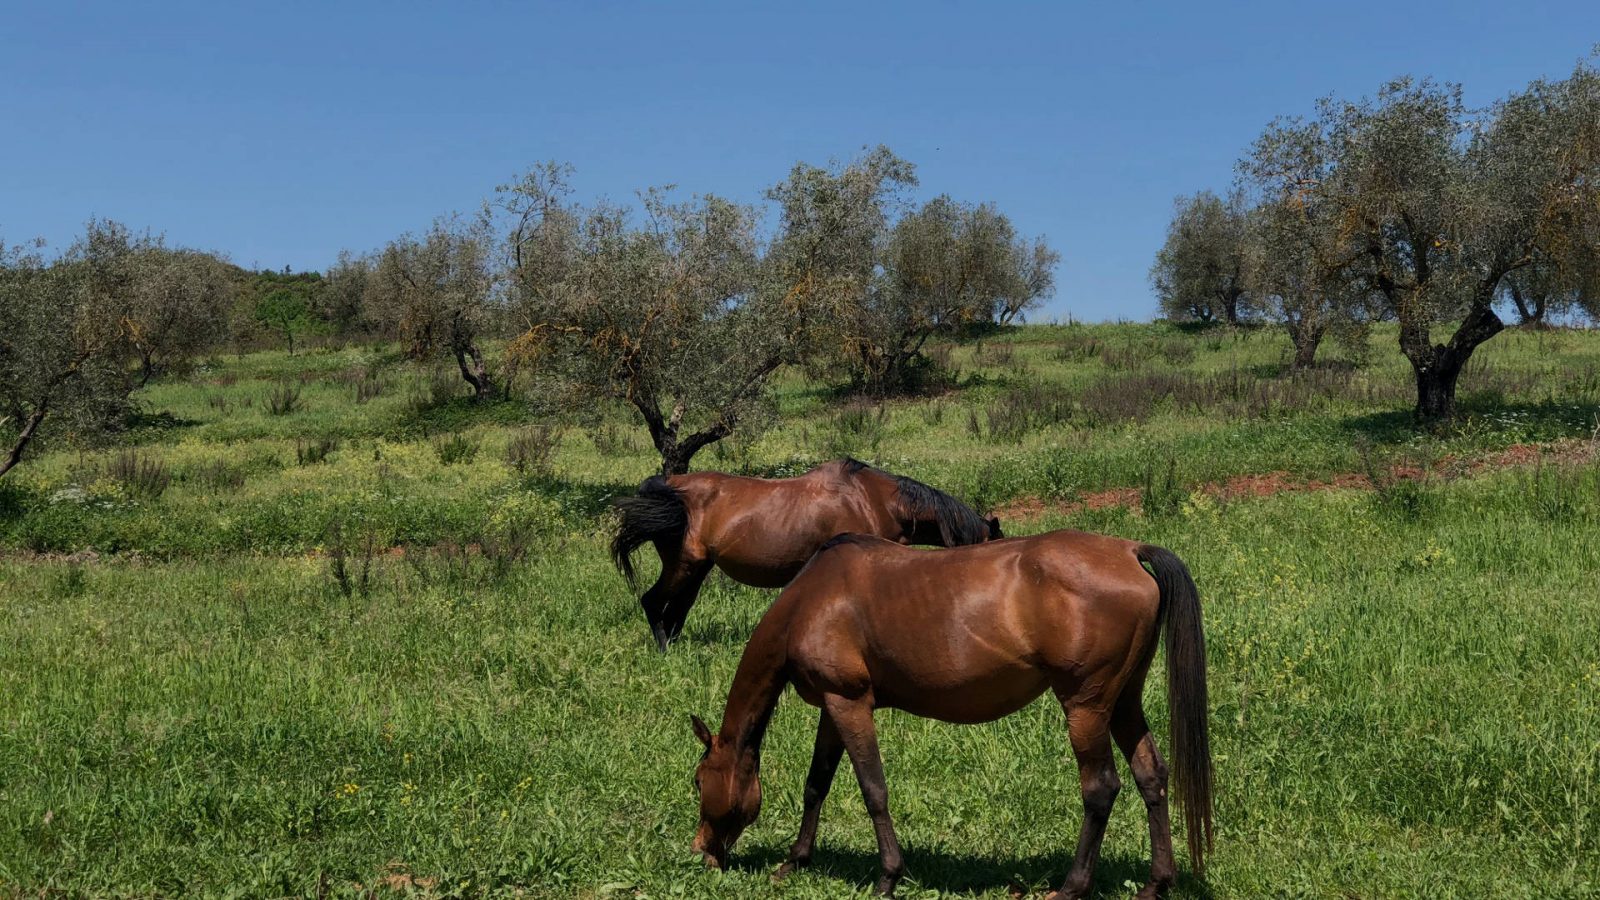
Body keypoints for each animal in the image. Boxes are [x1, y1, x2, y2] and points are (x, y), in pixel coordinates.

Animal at [604, 458, 992, 646]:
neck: (870, 498)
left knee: (675, 611)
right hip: (682, 565)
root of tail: (668, 487)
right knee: (653, 602)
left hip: (696, 570)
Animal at [688, 528, 1209, 890]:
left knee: (1101, 789)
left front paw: (888, 876)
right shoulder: (833, 709)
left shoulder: (850, 704)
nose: (702, 852)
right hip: (1123, 702)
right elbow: (816, 784)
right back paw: (1156, 884)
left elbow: (873, 789)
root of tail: (1128, 550)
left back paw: (1071, 887)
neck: (811, 601)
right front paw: (794, 861)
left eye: (697, 780)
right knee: (1151, 776)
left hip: (1087, 707)